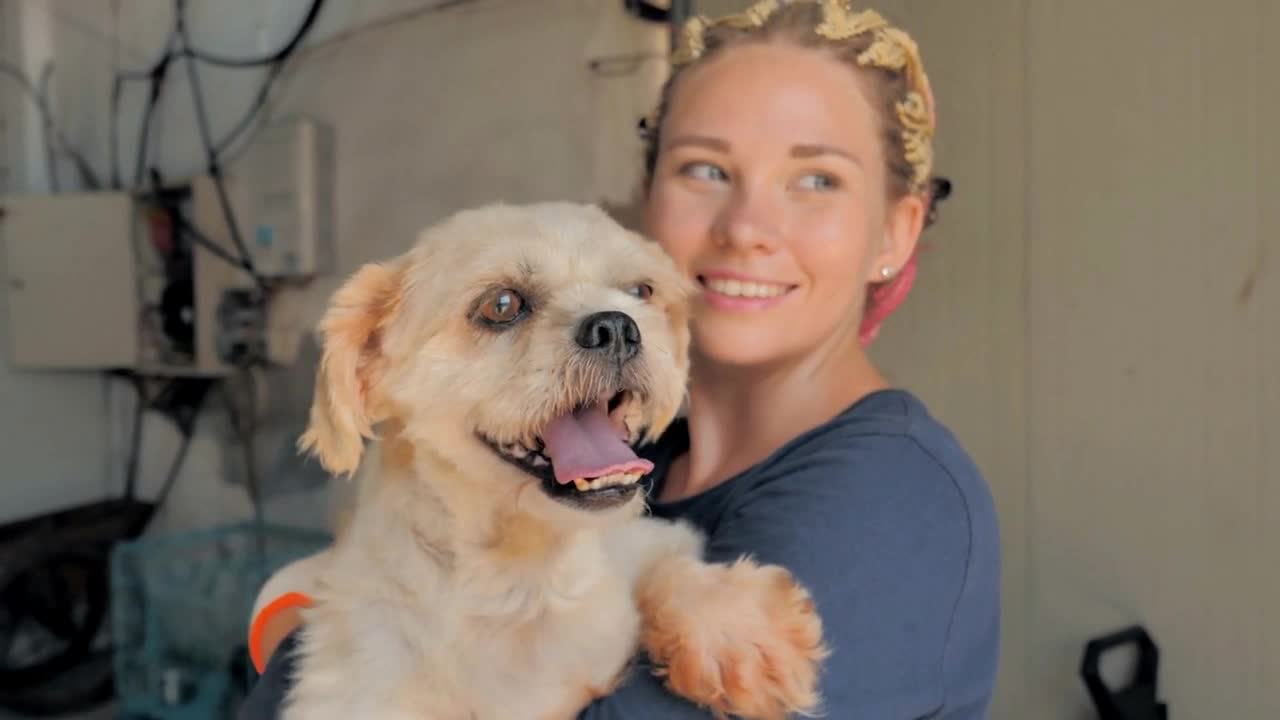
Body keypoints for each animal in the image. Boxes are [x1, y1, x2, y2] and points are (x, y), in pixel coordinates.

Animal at [282, 202, 819, 717]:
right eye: (501, 305)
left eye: (640, 290)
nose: (617, 326)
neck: (524, 577)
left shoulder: (651, 539)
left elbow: (668, 568)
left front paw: (738, 629)